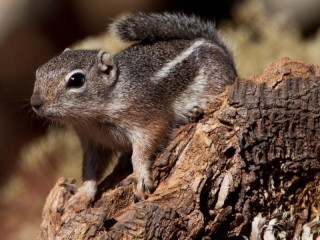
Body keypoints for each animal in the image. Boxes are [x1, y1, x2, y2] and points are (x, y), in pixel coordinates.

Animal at [30, 11, 236, 206]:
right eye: (38, 71)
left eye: (76, 80)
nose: (35, 102)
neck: (94, 118)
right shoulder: (93, 142)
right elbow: (91, 169)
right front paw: (82, 195)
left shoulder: (147, 118)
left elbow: (145, 147)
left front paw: (141, 178)